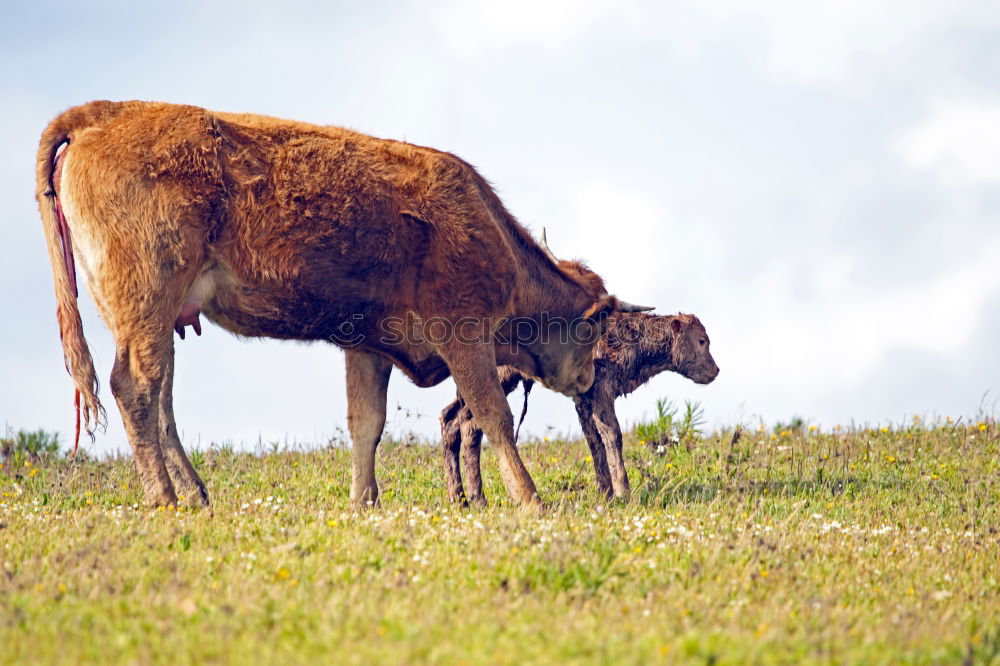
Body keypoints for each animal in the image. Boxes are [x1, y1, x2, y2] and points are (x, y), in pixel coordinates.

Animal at [35, 101, 648, 508]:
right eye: (595, 332)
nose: (590, 379)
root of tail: (106, 113)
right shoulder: (462, 332)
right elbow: (492, 413)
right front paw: (529, 498)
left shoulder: (368, 345)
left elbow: (365, 424)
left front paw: (363, 502)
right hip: (146, 300)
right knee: (135, 387)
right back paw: (165, 499)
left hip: (154, 318)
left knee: (160, 397)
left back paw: (196, 495)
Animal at [442, 314, 716, 500]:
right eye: (702, 341)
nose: (716, 370)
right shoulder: (602, 389)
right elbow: (612, 435)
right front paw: (623, 492)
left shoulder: (583, 399)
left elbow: (593, 439)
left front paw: (606, 493)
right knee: (470, 425)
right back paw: (476, 498)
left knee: (451, 419)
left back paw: (461, 499)